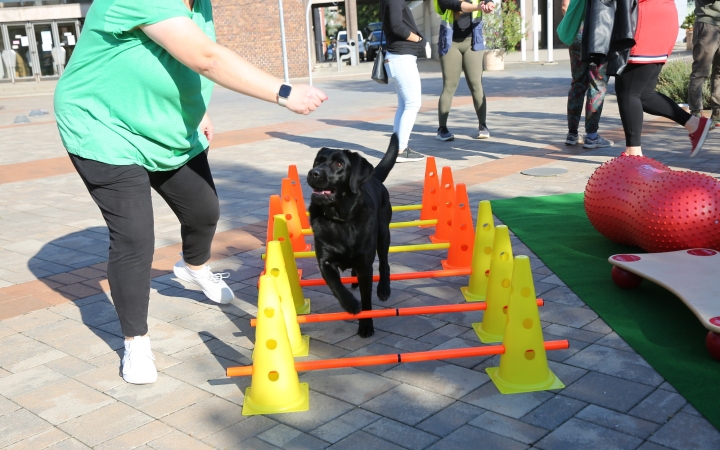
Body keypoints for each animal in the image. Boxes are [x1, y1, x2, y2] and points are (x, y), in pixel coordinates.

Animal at [306, 134, 400, 338]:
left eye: (339, 164)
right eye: (318, 161)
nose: (313, 173)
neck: (339, 219)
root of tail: (375, 178)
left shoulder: (365, 265)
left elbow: (366, 299)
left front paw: (365, 325)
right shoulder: (324, 262)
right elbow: (336, 286)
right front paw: (350, 304)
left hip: (383, 234)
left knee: (384, 263)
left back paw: (383, 289)